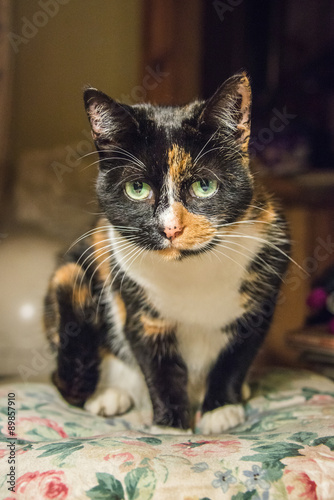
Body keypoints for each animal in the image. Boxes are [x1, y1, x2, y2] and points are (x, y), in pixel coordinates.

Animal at [43, 71, 290, 434]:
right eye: (137, 189)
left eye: (204, 186)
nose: (170, 228)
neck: (191, 273)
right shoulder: (141, 313)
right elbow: (159, 370)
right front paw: (170, 428)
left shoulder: (263, 293)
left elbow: (234, 359)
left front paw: (220, 410)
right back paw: (108, 396)